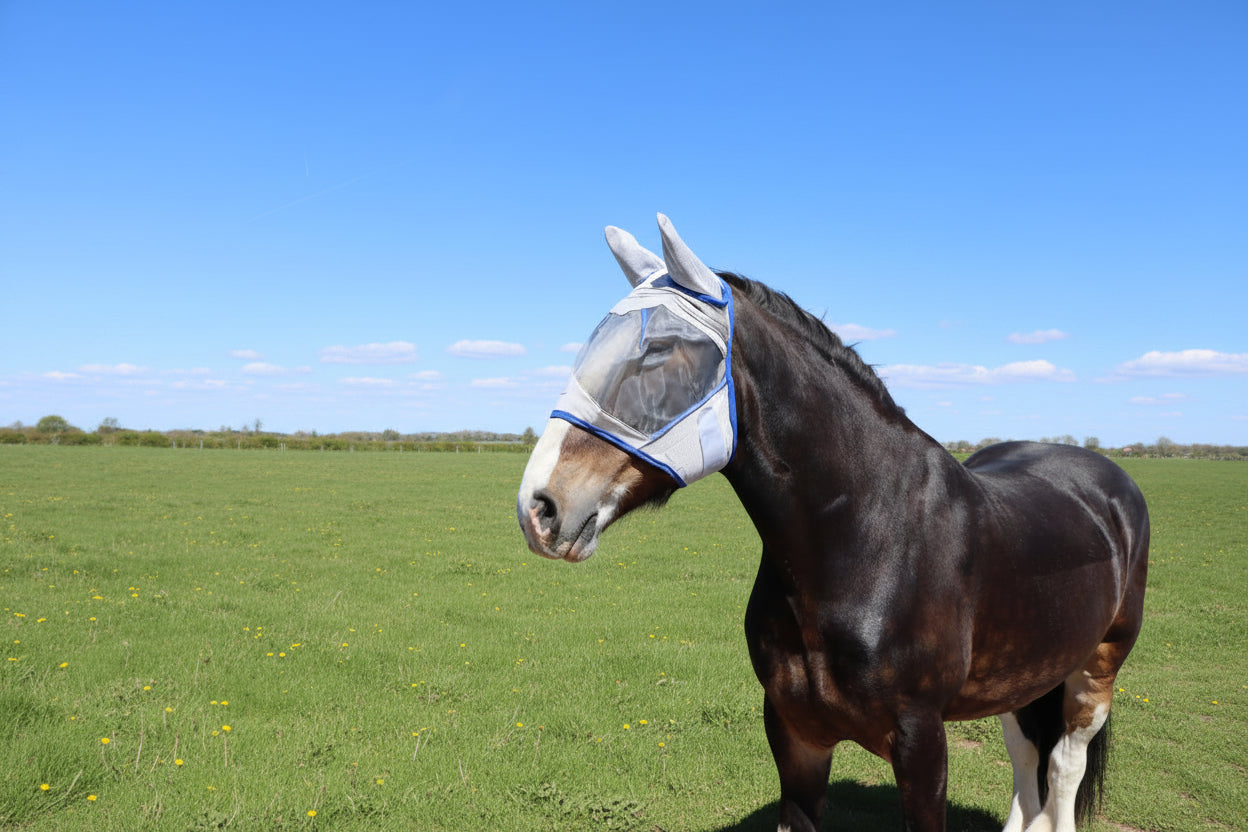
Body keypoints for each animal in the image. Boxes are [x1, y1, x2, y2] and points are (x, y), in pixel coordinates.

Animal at [517, 214, 1149, 832]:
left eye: (659, 349)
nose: (538, 507)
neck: (868, 540)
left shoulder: (922, 746)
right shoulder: (795, 735)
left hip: (1097, 669)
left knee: (1064, 766)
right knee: (1026, 754)